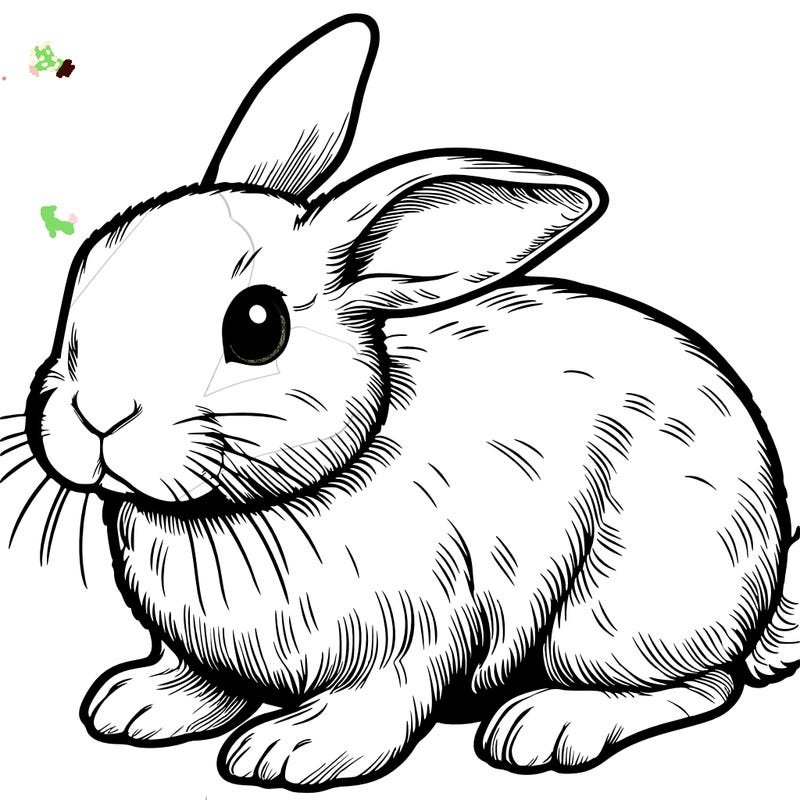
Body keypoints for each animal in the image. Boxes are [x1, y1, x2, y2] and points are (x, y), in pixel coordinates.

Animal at [11, 11, 800, 792]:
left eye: (258, 326)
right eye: (86, 267)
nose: (97, 414)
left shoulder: (417, 633)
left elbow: (379, 704)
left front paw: (291, 750)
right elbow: (203, 680)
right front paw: (138, 704)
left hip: (622, 613)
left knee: (704, 685)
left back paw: (545, 725)